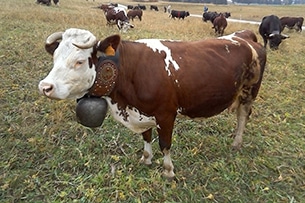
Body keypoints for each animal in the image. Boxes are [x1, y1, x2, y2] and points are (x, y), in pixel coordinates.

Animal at [38, 28, 266, 178]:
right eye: (55, 57)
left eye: (79, 61)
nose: (45, 86)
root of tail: (243, 35)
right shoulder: (141, 112)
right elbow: (146, 136)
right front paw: (146, 158)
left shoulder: (166, 114)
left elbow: (165, 144)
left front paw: (168, 171)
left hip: (250, 91)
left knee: (243, 116)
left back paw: (236, 143)